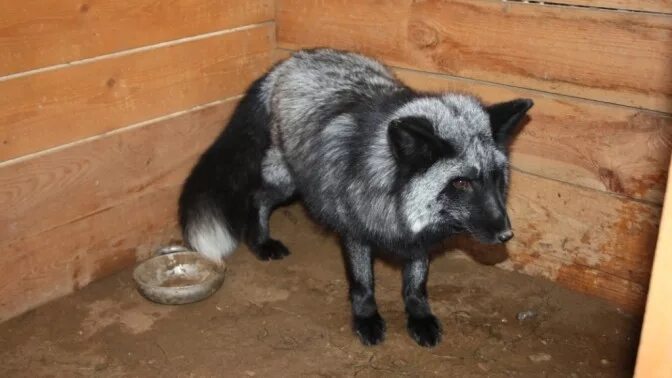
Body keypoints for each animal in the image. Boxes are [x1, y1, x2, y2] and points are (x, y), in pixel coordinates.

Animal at [177, 48, 532, 346]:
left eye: (496, 178)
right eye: (460, 183)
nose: (506, 234)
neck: (389, 194)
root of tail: (288, 61)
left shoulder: (416, 238)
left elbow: (416, 287)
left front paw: (420, 319)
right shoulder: (355, 232)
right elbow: (363, 285)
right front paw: (367, 320)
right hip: (288, 180)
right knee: (257, 198)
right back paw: (261, 242)